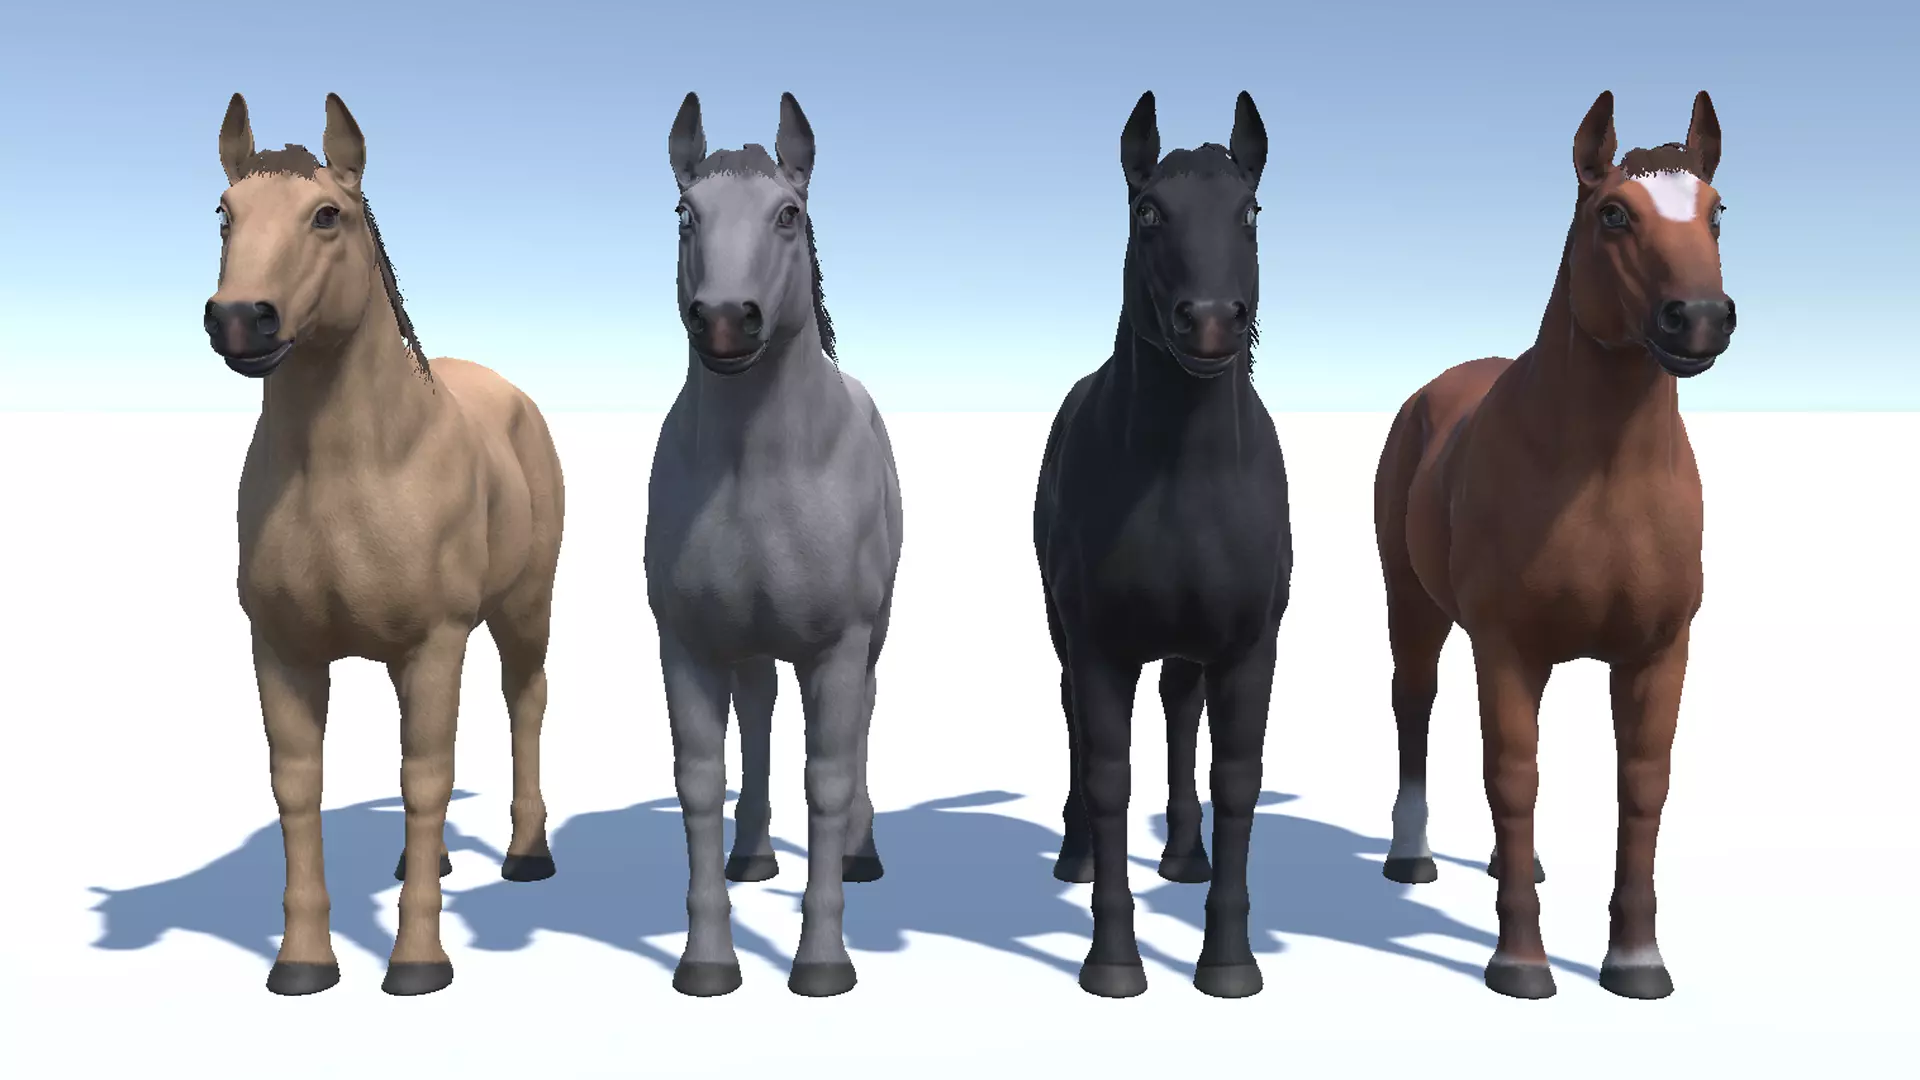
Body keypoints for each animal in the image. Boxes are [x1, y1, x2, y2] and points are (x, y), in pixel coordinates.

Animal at [204, 92, 566, 997]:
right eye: (225, 214)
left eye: (326, 215)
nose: (240, 319)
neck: (343, 469)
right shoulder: (282, 648)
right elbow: (298, 785)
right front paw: (301, 964)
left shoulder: (435, 642)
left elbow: (426, 776)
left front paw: (417, 964)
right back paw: (422, 863)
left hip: (523, 609)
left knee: (524, 702)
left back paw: (527, 854)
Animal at [644, 90, 902, 999]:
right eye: (686, 214)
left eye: (788, 214)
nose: (725, 320)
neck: (755, 468)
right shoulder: (686, 643)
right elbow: (700, 778)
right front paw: (706, 963)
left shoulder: (838, 646)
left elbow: (826, 775)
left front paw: (822, 962)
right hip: (749, 643)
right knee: (755, 717)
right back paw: (753, 854)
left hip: (869, 637)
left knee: (861, 719)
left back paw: (860, 851)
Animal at [1034, 90, 1292, 999]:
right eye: (1148, 211)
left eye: (1249, 211)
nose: (1211, 323)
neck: (1185, 478)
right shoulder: (1100, 645)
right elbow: (1109, 772)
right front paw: (1112, 961)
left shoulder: (1250, 646)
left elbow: (1237, 778)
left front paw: (1229, 962)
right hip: (1064, 629)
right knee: (1076, 720)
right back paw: (1076, 856)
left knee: (1183, 707)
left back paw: (1184, 856)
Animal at [1373, 89, 1732, 1001]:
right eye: (1614, 214)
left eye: (1717, 212)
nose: (1700, 319)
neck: (1604, 476)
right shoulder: (1503, 647)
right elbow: (1512, 774)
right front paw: (1521, 964)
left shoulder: (1657, 653)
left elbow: (1641, 786)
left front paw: (1637, 962)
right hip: (1412, 605)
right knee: (1415, 707)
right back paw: (1411, 856)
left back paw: (1516, 865)